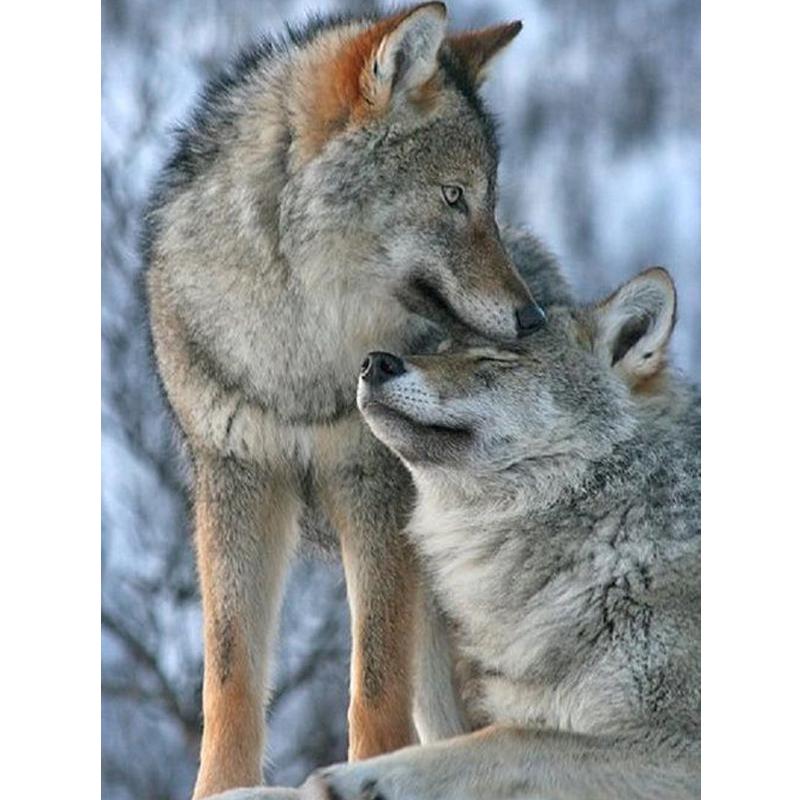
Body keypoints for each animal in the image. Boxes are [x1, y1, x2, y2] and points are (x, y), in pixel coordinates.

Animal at [144, 3, 573, 795]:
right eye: (454, 197)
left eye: (489, 204)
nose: (531, 319)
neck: (298, 346)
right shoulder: (237, 478)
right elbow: (230, 674)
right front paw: (223, 788)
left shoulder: (374, 487)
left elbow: (374, 681)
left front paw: (366, 770)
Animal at [300, 267, 700, 799]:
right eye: (441, 348)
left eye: (494, 360)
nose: (374, 362)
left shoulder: (680, 745)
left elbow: (509, 738)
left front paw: (355, 777)